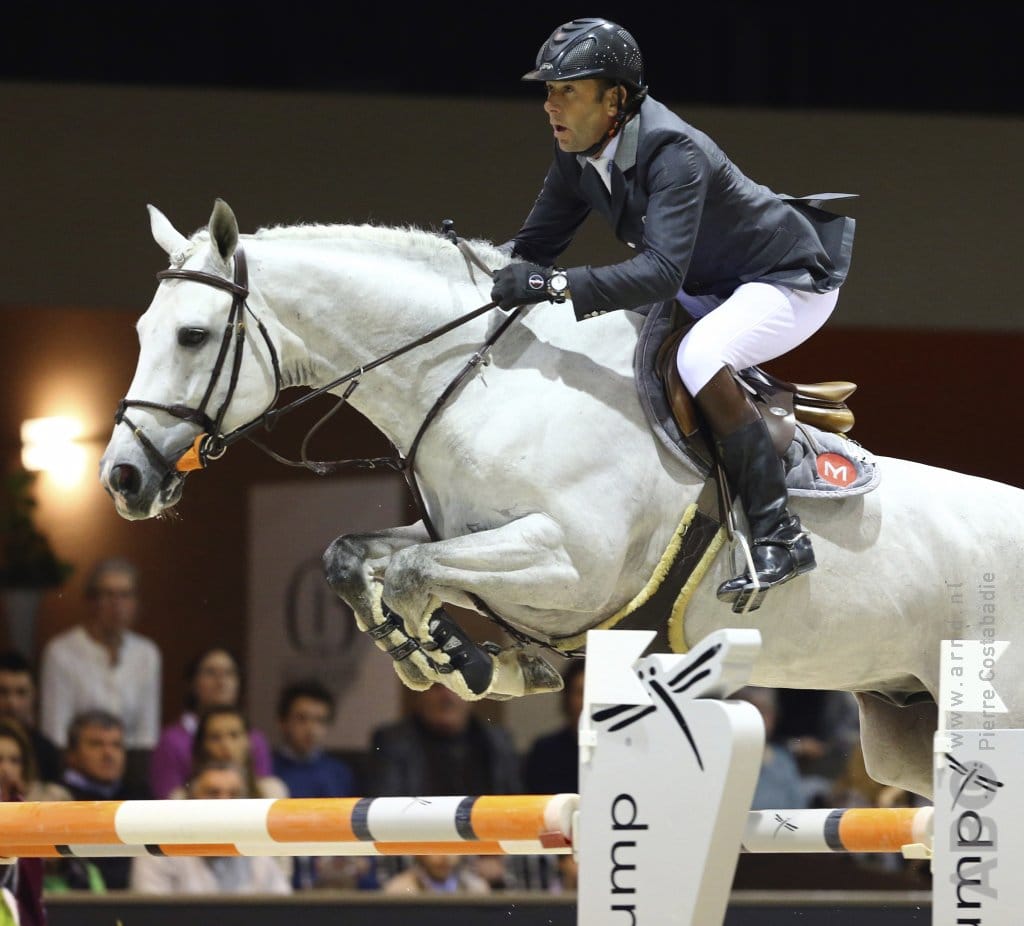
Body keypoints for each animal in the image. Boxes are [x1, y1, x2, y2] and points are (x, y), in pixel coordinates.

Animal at [100, 199, 1024, 799]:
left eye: (192, 336)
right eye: (141, 332)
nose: (123, 478)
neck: (477, 382)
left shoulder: (568, 564)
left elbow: (412, 574)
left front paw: (456, 659)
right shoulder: (464, 533)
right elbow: (357, 557)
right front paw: (459, 654)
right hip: (905, 721)